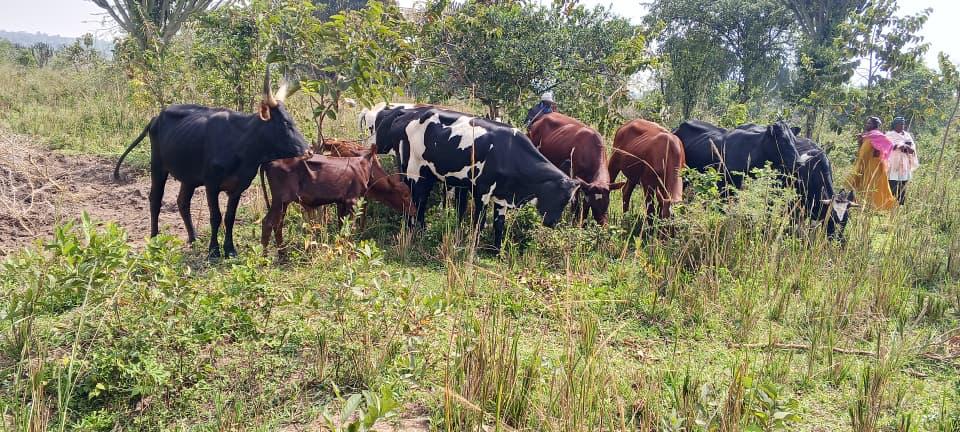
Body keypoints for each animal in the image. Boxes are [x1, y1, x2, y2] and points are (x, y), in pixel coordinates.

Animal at [113, 68, 311, 259]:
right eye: (285, 123)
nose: (308, 151)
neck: (241, 145)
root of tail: (156, 118)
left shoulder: (238, 187)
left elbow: (229, 217)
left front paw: (230, 249)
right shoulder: (212, 184)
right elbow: (215, 216)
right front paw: (214, 251)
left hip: (189, 177)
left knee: (182, 202)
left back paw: (193, 238)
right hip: (158, 167)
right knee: (155, 199)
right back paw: (154, 238)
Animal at [259, 145, 387, 254]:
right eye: (377, 160)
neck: (361, 165)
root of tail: (269, 161)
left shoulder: (341, 201)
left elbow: (341, 224)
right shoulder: (352, 200)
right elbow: (350, 226)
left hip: (283, 202)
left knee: (278, 224)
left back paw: (282, 253)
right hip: (279, 200)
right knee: (267, 223)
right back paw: (265, 258)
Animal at [362, 104, 580, 252]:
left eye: (568, 201)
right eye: (558, 197)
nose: (552, 223)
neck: (508, 152)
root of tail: (409, 113)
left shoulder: (501, 194)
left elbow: (499, 224)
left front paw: (497, 251)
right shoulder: (481, 190)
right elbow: (479, 222)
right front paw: (473, 247)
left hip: (427, 174)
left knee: (420, 203)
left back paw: (421, 230)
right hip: (415, 171)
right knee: (416, 201)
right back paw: (413, 231)